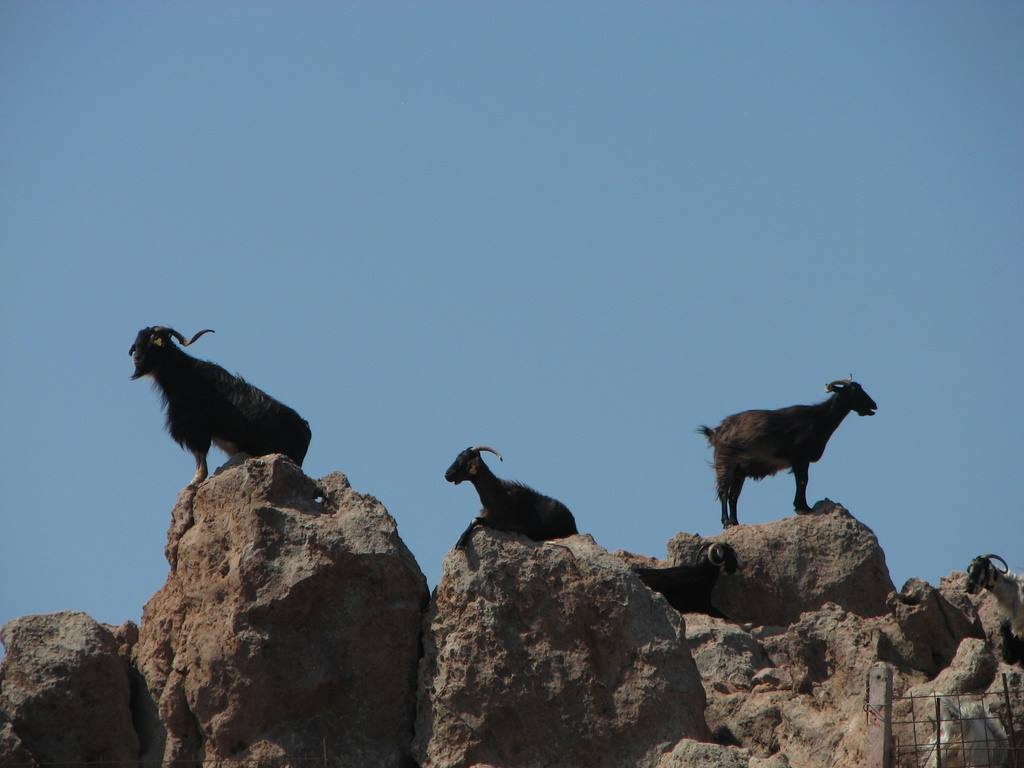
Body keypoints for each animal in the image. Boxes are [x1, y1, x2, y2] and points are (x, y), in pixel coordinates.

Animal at [129, 326, 312, 487]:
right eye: (137, 342)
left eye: (153, 340)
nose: (136, 358)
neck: (184, 374)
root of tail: (306, 430)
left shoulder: (196, 429)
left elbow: (201, 460)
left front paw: (194, 481)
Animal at [444, 446, 578, 550]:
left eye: (464, 460)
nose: (447, 474)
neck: (498, 493)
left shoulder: (501, 523)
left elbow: (475, 520)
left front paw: (461, 542)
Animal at [699, 377, 877, 528]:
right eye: (854, 390)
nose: (874, 405)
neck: (818, 418)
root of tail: (716, 431)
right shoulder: (800, 458)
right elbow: (803, 481)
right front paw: (803, 507)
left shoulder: (800, 461)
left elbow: (802, 481)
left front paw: (802, 506)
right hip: (725, 463)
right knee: (723, 492)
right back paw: (726, 522)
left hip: (739, 471)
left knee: (733, 496)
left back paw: (735, 522)